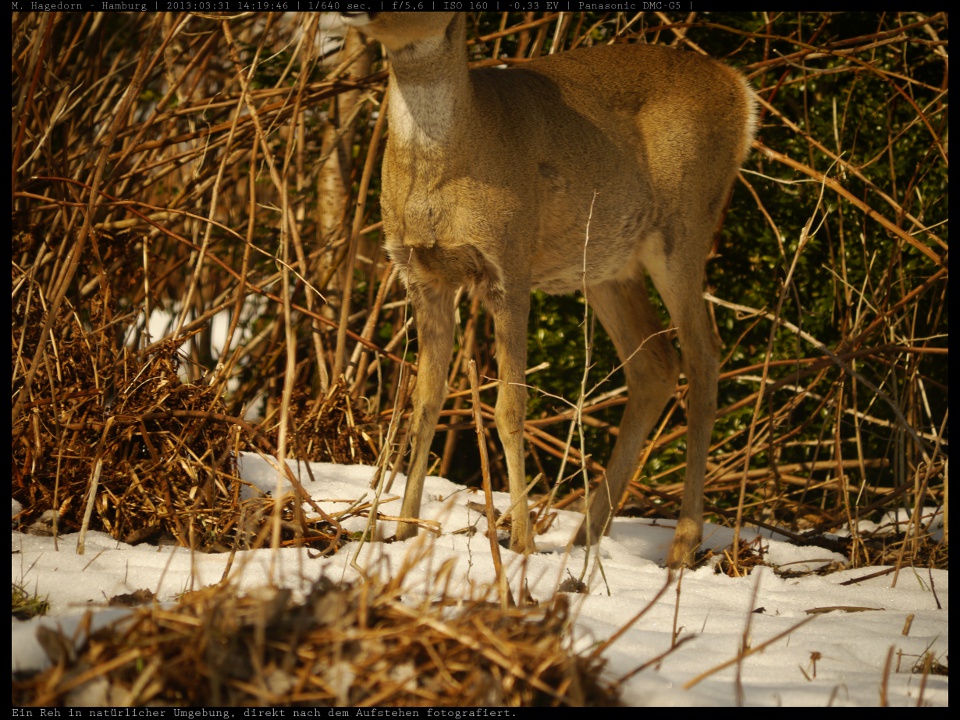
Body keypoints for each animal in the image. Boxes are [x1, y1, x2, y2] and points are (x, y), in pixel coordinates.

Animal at [342, 8, 752, 564]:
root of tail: (738, 86)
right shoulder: (421, 274)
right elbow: (423, 401)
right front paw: (400, 531)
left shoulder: (509, 267)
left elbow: (509, 407)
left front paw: (520, 542)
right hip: (606, 266)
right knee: (656, 366)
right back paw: (587, 536)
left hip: (685, 228)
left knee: (704, 359)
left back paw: (682, 545)